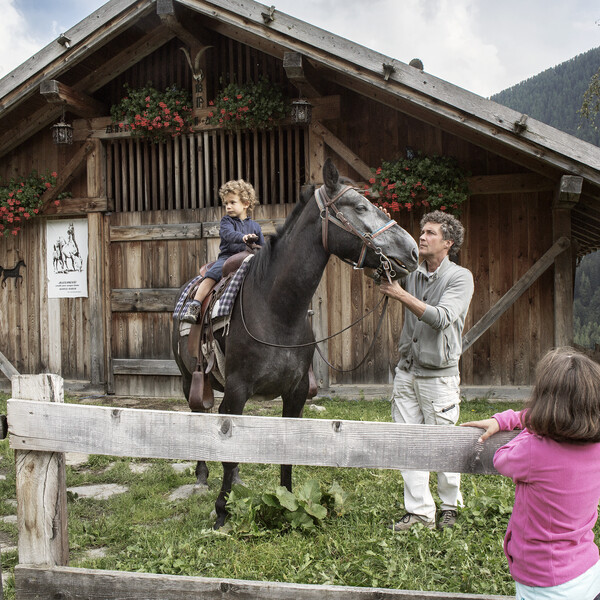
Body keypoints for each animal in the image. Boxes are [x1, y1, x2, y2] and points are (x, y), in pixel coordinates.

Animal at [173, 158, 418, 524]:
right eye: (361, 207)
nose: (413, 250)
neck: (277, 310)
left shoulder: (296, 392)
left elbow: (285, 451)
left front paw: (287, 504)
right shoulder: (238, 389)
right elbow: (228, 451)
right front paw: (221, 514)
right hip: (189, 377)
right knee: (197, 415)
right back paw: (202, 473)